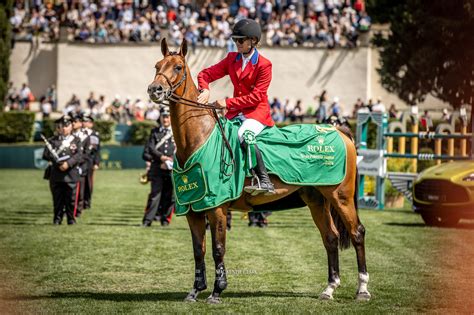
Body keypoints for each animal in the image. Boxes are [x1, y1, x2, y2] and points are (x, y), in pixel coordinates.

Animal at [147, 38, 370, 304]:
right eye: (157, 65)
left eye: (178, 67)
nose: (155, 90)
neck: (198, 138)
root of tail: (337, 130)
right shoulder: (194, 208)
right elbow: (198, 251)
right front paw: (194, 291)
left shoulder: (217, 208)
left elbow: (217, 249)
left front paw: (216, 291)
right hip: (317, 199)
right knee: (331, 238)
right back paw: (329, 289)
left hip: (340, 196)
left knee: (357, 233)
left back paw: (362, 289)